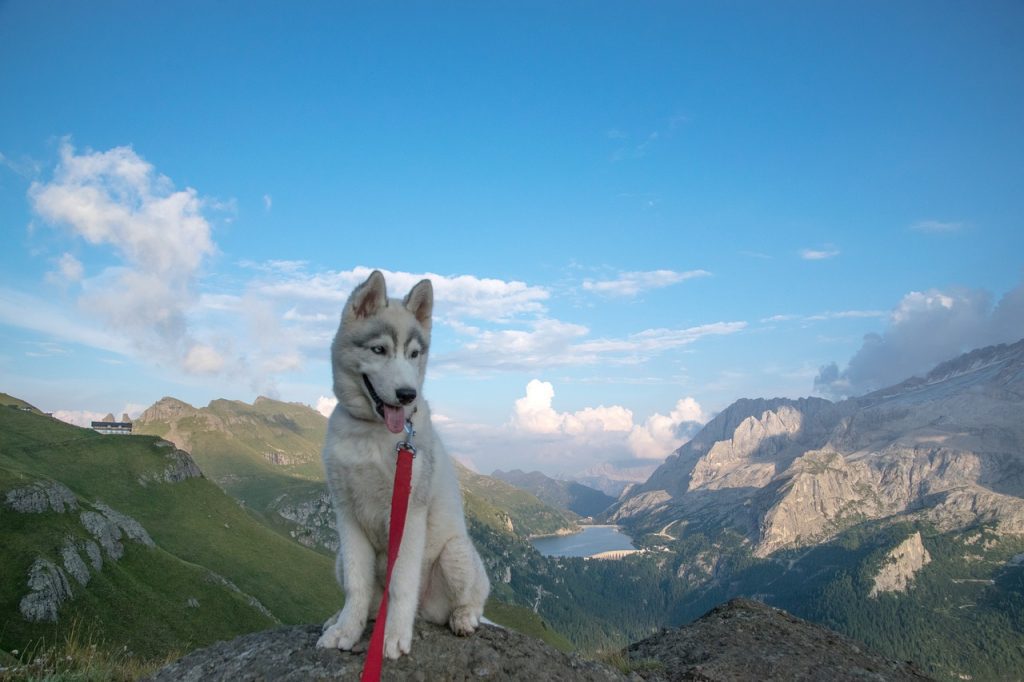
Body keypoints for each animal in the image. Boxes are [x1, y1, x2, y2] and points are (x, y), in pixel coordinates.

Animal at [317, 270, 489, 659]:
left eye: (414, 354)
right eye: (379, 350)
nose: (408, 395)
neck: (371, 432)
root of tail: (425, 612)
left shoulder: (409, 513)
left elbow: (402, 583)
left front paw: (393, 636)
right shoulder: (346, 514)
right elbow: (357, 584)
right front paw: (346, 629)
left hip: (456, 553)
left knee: (474, 597)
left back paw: (464, 617)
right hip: (338, 556)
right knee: (368, 596)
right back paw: (342, 618)